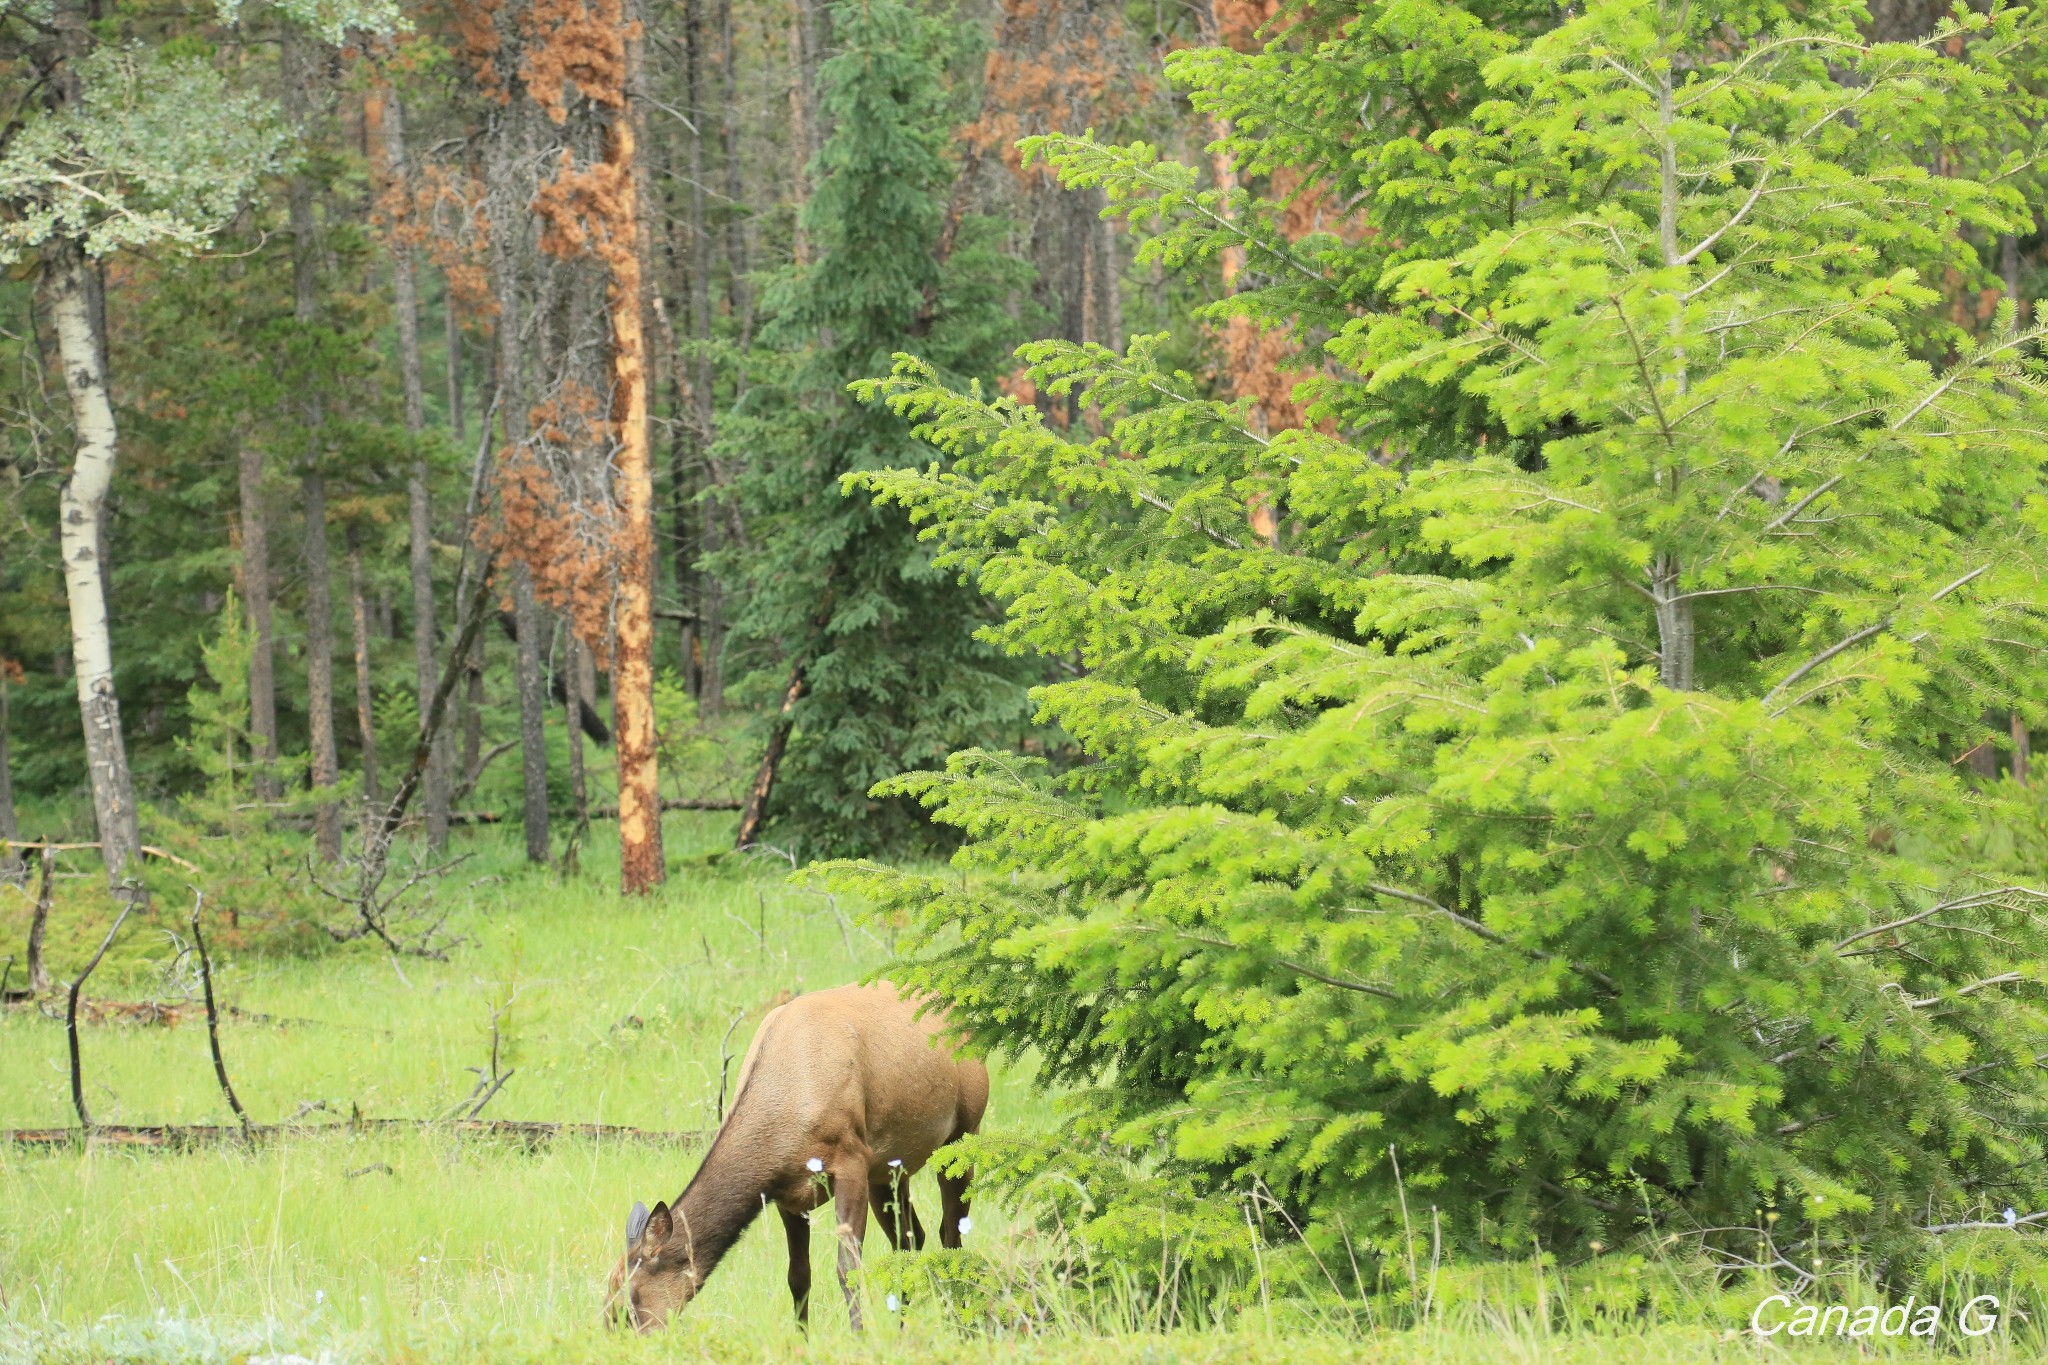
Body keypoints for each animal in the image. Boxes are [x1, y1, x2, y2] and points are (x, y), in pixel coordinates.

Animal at [602, 982, 987, 1334]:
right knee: (910, 1239)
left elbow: (847, 1266)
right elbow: (798, 1276)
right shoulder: (788, 1195)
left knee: (950, 1232)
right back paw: (903, 1329)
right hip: (889, 1169)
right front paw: (803, 1338)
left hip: (964, 1131)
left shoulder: (851, 1159)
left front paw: (859, 1337)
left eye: (629, 1300)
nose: (616, 1340)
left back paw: (959, 1326)